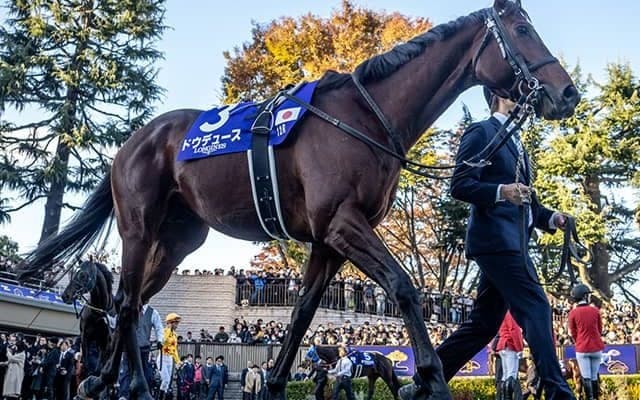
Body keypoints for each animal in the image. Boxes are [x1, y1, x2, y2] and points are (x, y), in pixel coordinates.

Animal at [18, 0, 579, 398]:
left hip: (178, 240)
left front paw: (278, 383)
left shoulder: (327, 240)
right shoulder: (341, 223)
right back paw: (122, 381)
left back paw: (111, 380)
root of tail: (133, 141)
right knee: (128, 301)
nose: (567, 93)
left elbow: (304, 314)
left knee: (129, 301)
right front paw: (431, 376)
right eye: (523, 31)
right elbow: (402, 285)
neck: (365, 117)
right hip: (138, 228)